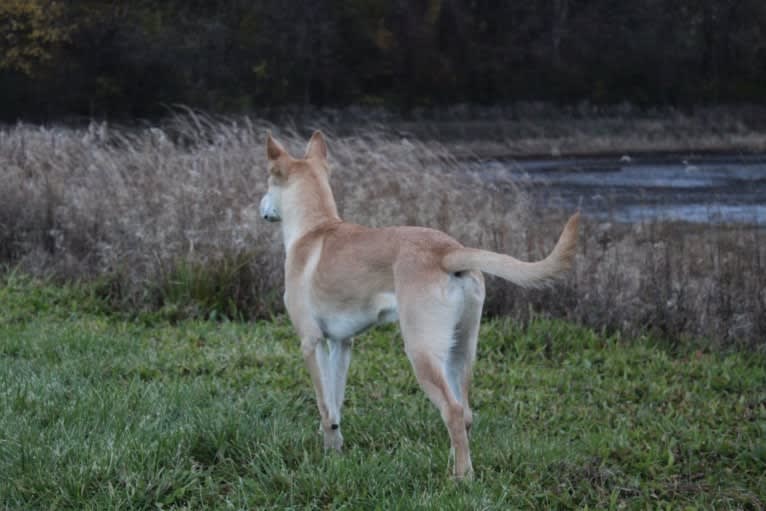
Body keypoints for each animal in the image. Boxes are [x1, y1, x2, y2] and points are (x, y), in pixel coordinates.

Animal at [260, 131, 580, 480]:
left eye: (267, 182)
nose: (261, 208)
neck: (314, 228)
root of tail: (448, 252)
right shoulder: (341, 344)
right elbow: (335, 403)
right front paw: (335, 448)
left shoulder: (311, 342)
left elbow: (323, 405)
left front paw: (329, 454)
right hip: (459, 352)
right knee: (465, 413)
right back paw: (456, 464)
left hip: (421, 351)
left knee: (452, 410)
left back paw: (461, 478)